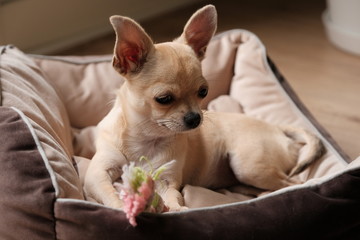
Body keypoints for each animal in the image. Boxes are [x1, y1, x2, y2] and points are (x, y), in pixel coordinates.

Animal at [83, 5, 324, 212]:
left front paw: (177, 210)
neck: (146, 138)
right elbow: (109, 193)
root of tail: (276, 128)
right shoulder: (97, 174)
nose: (195, 118)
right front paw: (122, 207)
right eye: (164, 99)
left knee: (293, 182)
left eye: (203, 92)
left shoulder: (166, 181)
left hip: (248, 166)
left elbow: (172, 196)